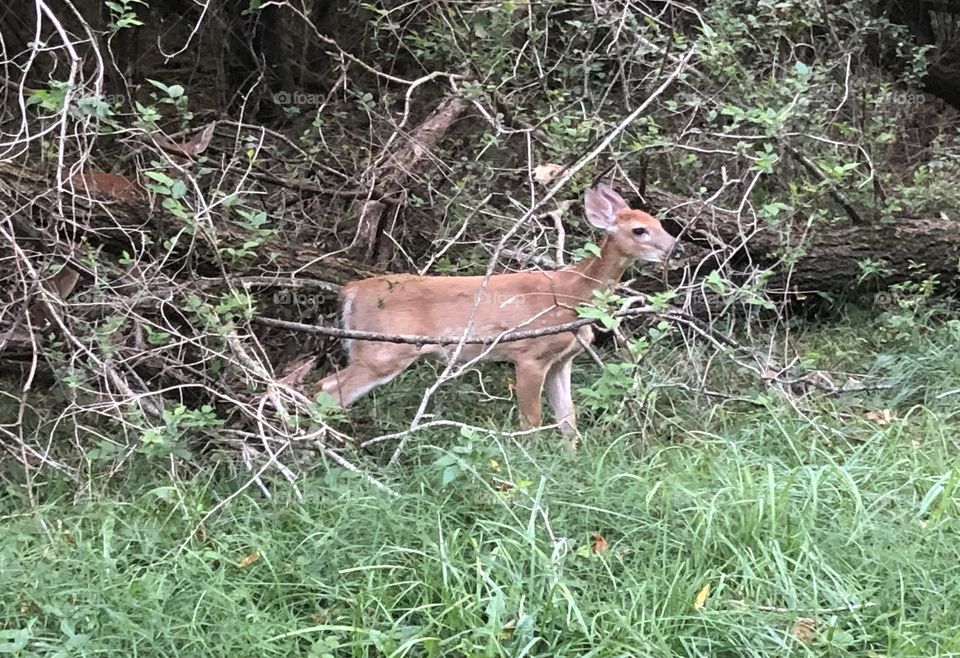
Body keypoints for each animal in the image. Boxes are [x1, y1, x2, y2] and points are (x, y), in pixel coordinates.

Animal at [316, 184, 683, 436]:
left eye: (659, 223)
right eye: (639, 230)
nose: (677, 250)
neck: (572, 295)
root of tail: (351, 290)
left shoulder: (561, 361)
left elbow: (568, 419)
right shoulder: (529, 354)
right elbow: (531, 421)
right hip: (382, 351)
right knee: (328, 388)